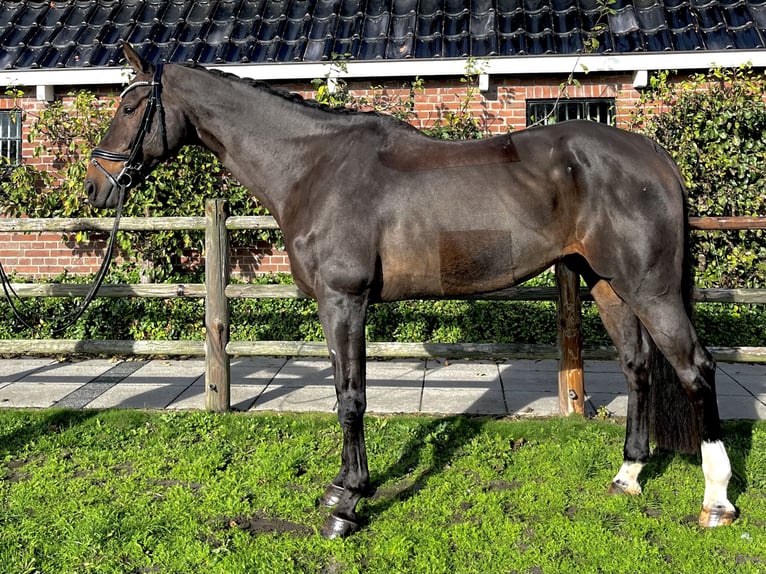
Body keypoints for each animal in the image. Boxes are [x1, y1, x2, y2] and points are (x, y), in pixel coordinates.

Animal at [85, 44, 736, 538]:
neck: (314, 168)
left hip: (649, 289)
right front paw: (342, 489)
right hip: (607, 284)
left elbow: (351, 399)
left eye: (133, 105)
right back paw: (628, 476)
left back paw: (717, 501)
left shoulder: (344, 302)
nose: (95, 186)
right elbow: (344, 392)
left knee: (695, 368)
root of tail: (653, 156)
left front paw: (349, 506)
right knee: (637, 367)